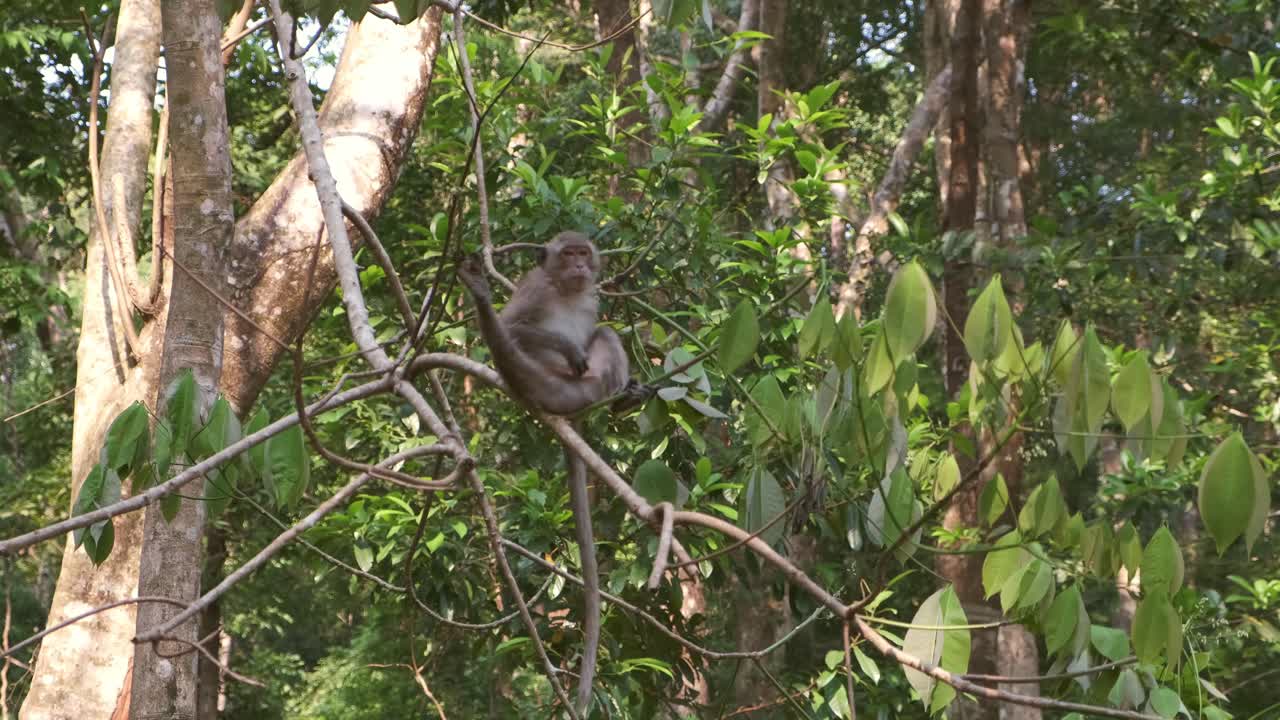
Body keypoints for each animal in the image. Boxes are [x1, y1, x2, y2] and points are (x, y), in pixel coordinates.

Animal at [456, 231, 650, 715]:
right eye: (568, 254)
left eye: (583, 253)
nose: (580, 265)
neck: (565, 290)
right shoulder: (534, 289)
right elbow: (516, 325)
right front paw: (566, 346)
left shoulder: (590, 296)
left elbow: (597, 321)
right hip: (557, 381)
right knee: (520, 344)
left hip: (589, 384)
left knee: (605, 334)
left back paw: (623, 399)